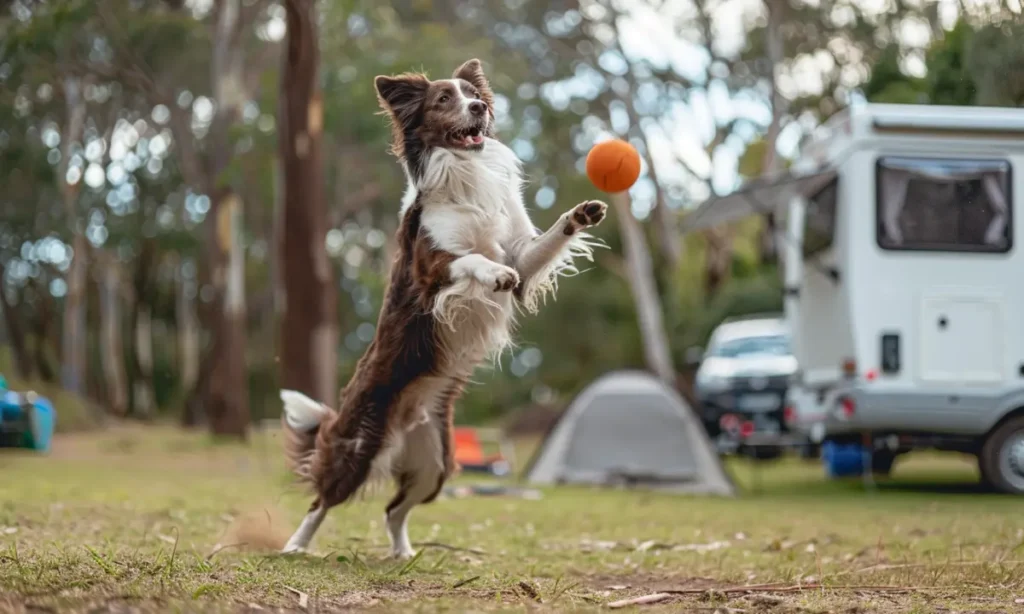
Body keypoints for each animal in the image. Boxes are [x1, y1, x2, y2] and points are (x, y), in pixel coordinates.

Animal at [276, 59, 602, 560]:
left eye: (473, 93)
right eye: (444, 99)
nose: (479, 106)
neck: (467, 171)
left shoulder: (523, 255)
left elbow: (541, 245)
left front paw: (580, 215)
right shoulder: (431, 270)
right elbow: (470, 262)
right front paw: (493, 275)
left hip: (435, 464)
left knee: (393, 510)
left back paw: (402, 554)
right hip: (358, 450)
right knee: (322, 500)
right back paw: (295, 544)